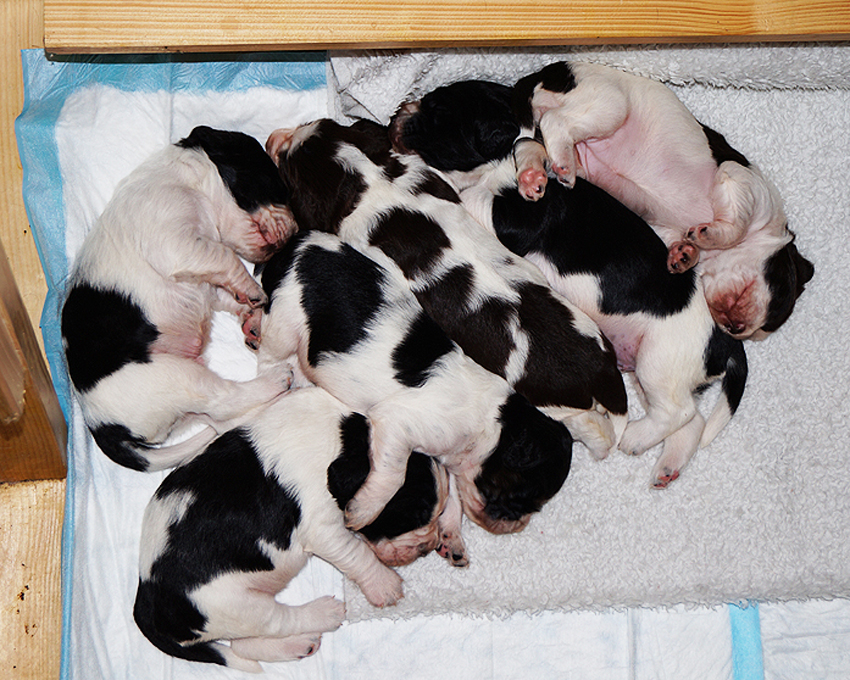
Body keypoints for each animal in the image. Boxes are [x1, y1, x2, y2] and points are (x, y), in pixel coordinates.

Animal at [62, 125, 294, 470]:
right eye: (276, 186)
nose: (293, 233)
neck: (192, 181)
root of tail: (101, 427)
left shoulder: (202, 279)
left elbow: (224, 293)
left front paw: (250, 313)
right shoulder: (178, 243)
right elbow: (226, 257)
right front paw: (254, 290)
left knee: (223, 420)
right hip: (177, 378)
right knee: (225, 399)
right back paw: (278, 380)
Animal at [134, 386, 450, 672]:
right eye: (416, 514)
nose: (429, 547)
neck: (349, 440)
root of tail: (146, 596)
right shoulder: (323, 529)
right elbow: (357, 552)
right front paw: (385, 585)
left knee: (244, 645)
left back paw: (299, 645)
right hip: (234, 603)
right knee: (276, 621)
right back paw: (325, 614)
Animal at [258, 228, 572, 536]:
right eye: (524, 498)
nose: (518, 525)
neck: (493, 424)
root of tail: (296, 244)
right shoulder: (396, 423)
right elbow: (394, 473)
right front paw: (362, 512)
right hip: (284, 320)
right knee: (269, 358)